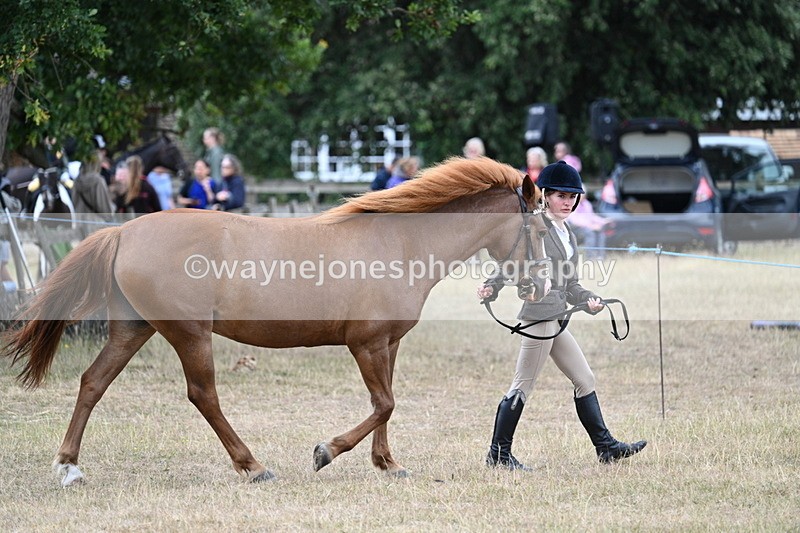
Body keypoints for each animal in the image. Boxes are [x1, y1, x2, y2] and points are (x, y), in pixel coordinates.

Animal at [2, 156, 550, 487]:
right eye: (543, 228)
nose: (540, 284)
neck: (398, 244)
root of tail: (123, 232)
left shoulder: (388, 344)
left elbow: (387, 405)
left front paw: (387, 463)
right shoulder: (366, 344)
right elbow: (384, 404)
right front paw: (327, 451)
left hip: (134, 329)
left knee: (93, 382)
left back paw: (69, 466)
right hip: (188, 334)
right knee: (203, 395)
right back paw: (253, 465)